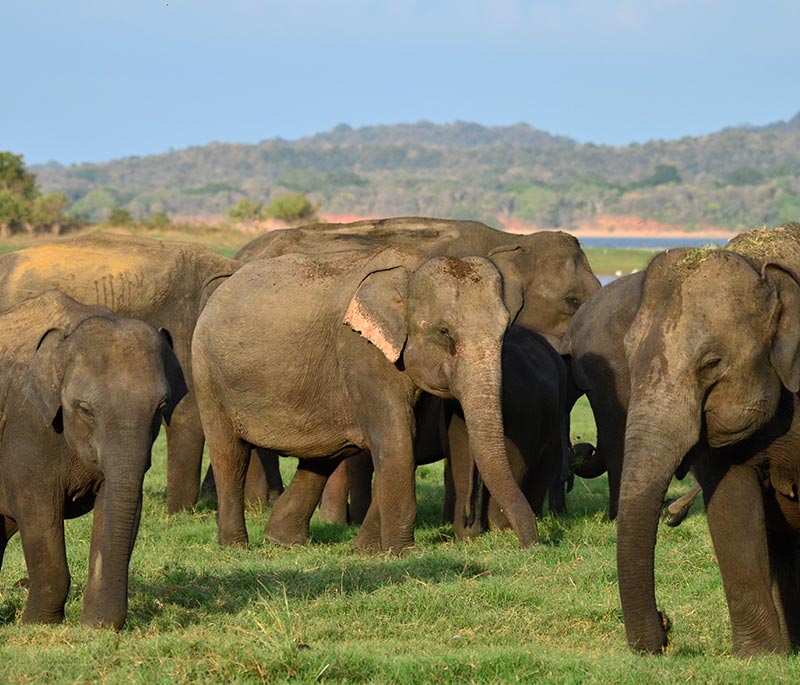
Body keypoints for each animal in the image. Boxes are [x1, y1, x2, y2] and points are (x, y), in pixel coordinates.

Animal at [0, 288, 187, 624]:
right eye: (85, 409)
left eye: (161, 407)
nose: (105, 625)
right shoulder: (27, 424)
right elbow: (36, 508)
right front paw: (37, 623)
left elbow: (117, 503)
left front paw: (92, 625)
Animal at [191, 246, 536, 552]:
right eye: (444, 332)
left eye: (504, 330)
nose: (529, 546)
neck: (410, 271)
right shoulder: (362, 351)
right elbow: (396, 438)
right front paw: (399, 553)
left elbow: (406, 439)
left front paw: (366, 550)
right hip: (208, 374)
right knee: (229, 454)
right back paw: (235, 546)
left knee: (322, 456)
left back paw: (282, 542)